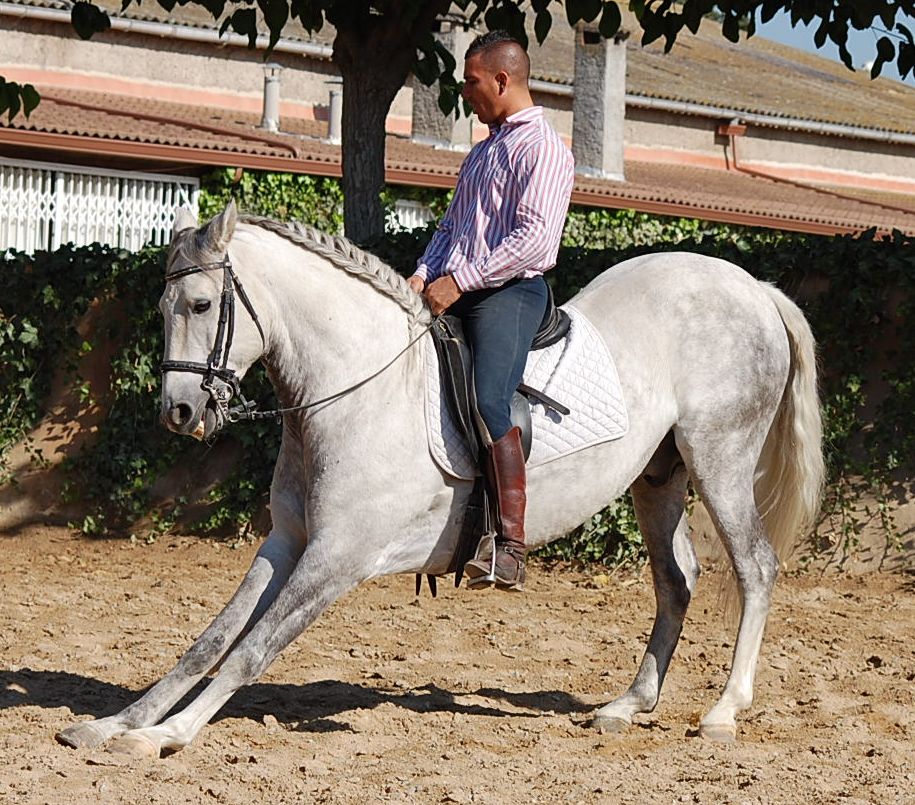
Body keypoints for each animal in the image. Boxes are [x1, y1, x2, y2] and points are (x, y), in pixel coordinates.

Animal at [57, 201, 823, 757]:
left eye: (198, 306)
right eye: (163, 310)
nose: (179, 413)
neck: (358, 388)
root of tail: (752, 287)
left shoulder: (338, 557)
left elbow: (253, 648)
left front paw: (166, 735)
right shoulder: (288, 542)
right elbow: (211, 640)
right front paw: (117, 722)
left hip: (720, 457)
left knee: (754, 567)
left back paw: (722, 711)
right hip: (659, 477)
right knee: (677, 580)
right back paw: (627, 705)